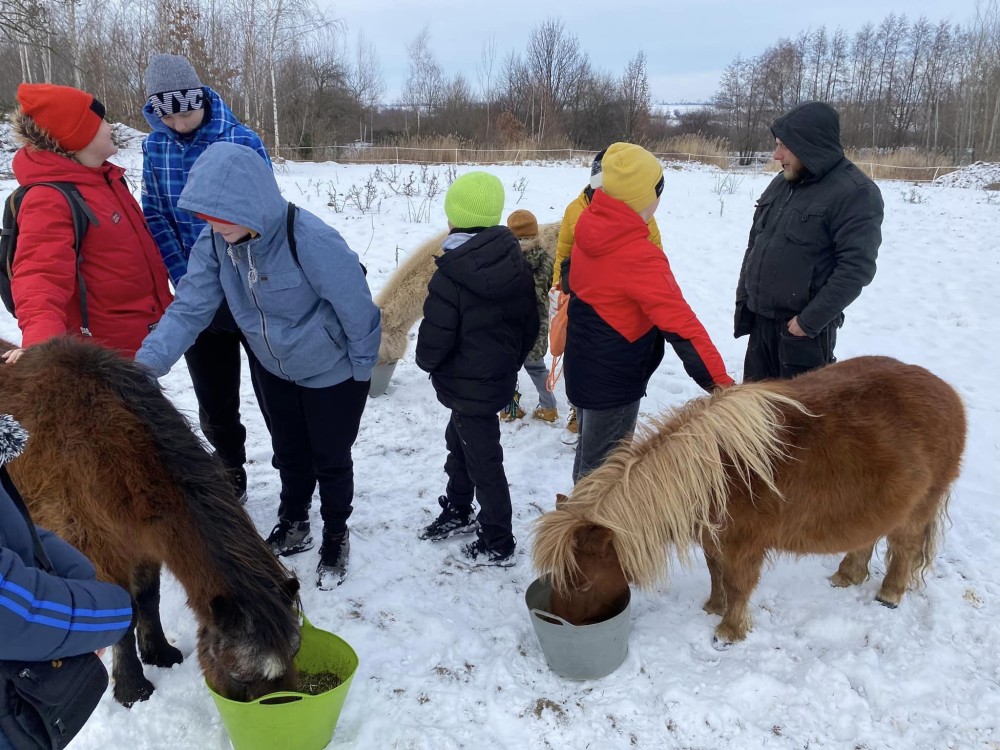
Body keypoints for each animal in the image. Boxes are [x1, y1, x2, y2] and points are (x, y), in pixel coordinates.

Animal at [0, 338, 300, 708]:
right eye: (240, 676)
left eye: (293, 658)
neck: (106, 449)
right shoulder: (99, 551)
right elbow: (124, 613)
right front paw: (132, 688)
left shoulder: (144, 542)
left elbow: (147, 598)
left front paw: (159, 653)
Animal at [536, 356, 964, 648]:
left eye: (581, 581)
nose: (562, 623)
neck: (715, 474)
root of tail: (949, 394)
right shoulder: (713, 539)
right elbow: (716, 572)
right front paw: (713, 605)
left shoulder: (745, 546)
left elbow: (738, 583)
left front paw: (728, 630)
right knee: (868, 539)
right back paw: (847, 575)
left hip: (918, 510)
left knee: (904, 548)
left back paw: (889, 594)